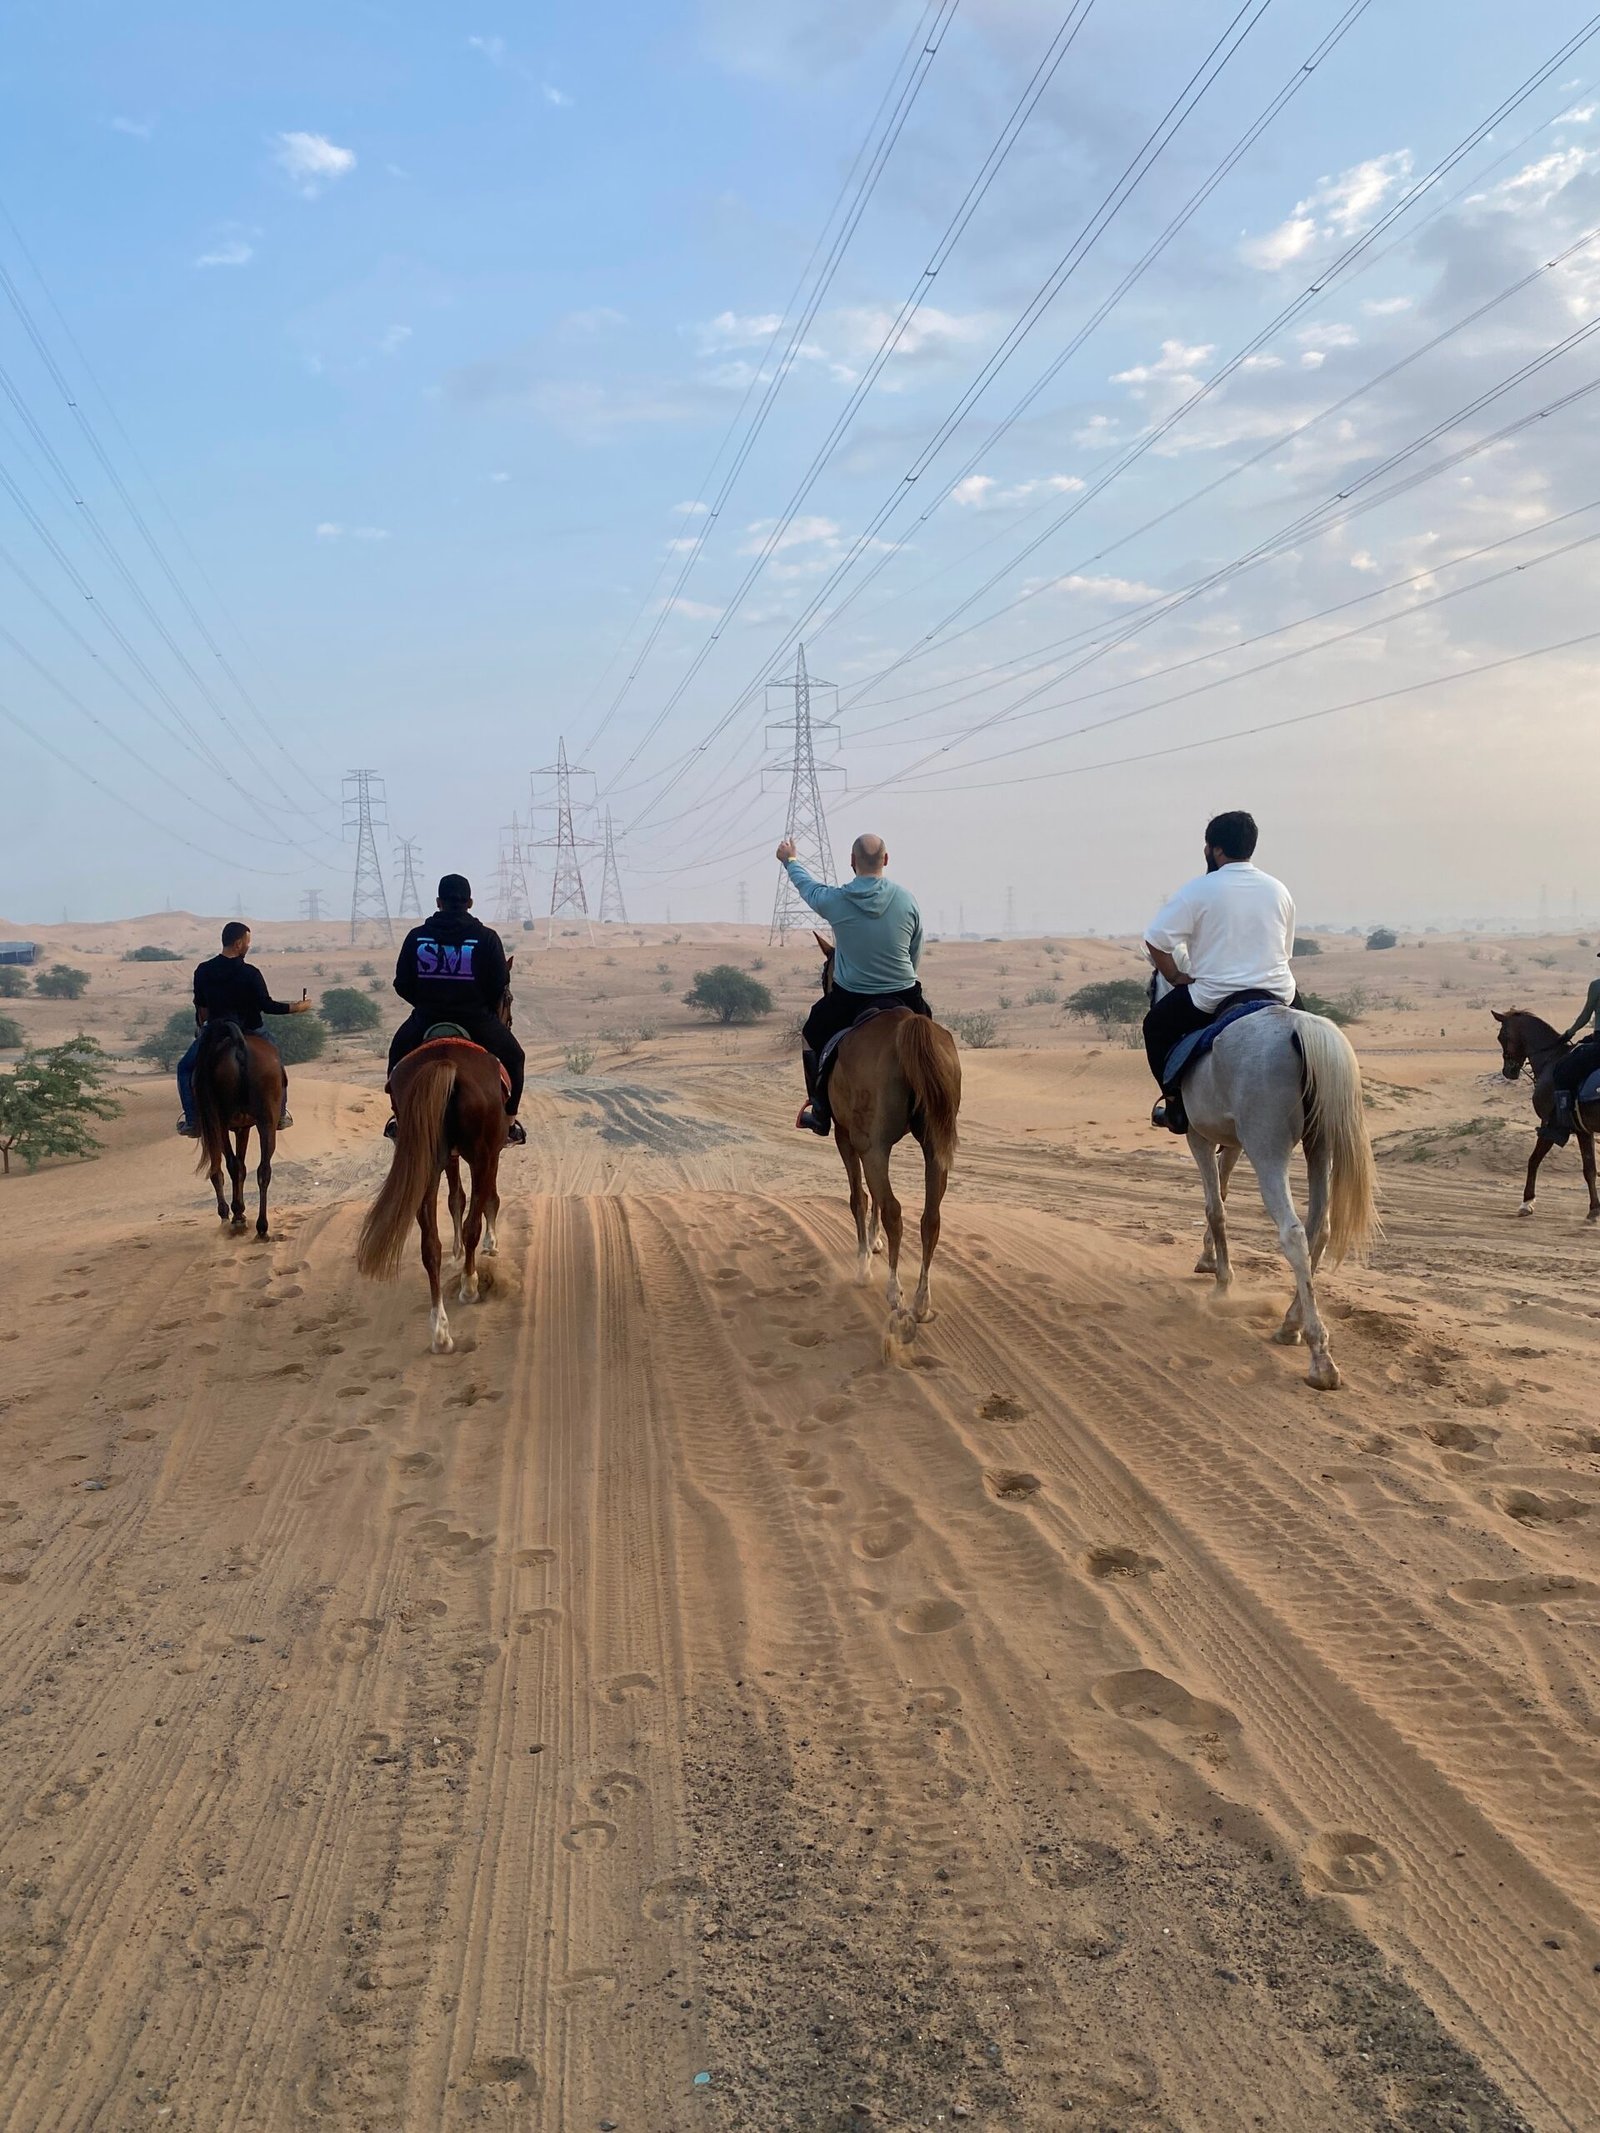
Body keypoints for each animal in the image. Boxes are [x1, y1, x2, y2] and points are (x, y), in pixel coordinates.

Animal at [193, 1019, 288, 1245]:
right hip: (266, 1120)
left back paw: (237, 1218)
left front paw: (230, 1213)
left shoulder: (225, 1126)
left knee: (230, 1165)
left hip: (220, 1122)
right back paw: (261, 1227)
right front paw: (239, 1212)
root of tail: (239, 1047)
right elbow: (243, 1166)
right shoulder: (243, 1127)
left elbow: (225, 1168)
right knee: (263, 1169)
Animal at [358, 972, 520, 1348]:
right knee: (473, 1221)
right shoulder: (491, 1151)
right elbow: (487, 1199)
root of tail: (446, 1060)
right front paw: (489, 1247)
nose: (509, 1019)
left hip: (425, 1162)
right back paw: (469, 1287)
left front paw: (458, 1251)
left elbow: (455, 1199)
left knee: (429, 1243)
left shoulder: (450, 1156)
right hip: (481, 1152)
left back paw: (440, 1329)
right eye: (507, 996)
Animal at [814, 938, 964, 1365]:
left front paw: (864, 1263)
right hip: (933, 1145)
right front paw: (874, 1244)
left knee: (895, 1209)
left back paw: (894, 1296)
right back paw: (921, 1302)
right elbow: (877, 1199)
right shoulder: (875, 1144)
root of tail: (906, 1026)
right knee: (930, 1216)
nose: (825, 986)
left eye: (824, 971)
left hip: (870, 1143)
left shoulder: (848, 1138)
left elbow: (860, 1197)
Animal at [1160, 976, 1382, 1390]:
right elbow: (1223, 1192)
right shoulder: (1232, 1141)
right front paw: (1208, 1260)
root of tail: (1302, 1029)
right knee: (1319, 1228)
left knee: (1292, 1232)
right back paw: (1291, 1325)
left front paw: (1222, 1284)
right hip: (1320, 1145)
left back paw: (1319, 1357)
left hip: (1268, 1146)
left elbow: (1215, 1207)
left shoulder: (1199, 1136)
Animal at [1501, 1006, 1595, 1228]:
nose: (1507, 1071)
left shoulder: (1550, 1126)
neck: (1551, 1060)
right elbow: (1590, 1169)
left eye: (1501, 1036)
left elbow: (1533, 1159)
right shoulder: (1584, 1129)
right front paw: (1595, 1209)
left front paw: (1527, 1202)